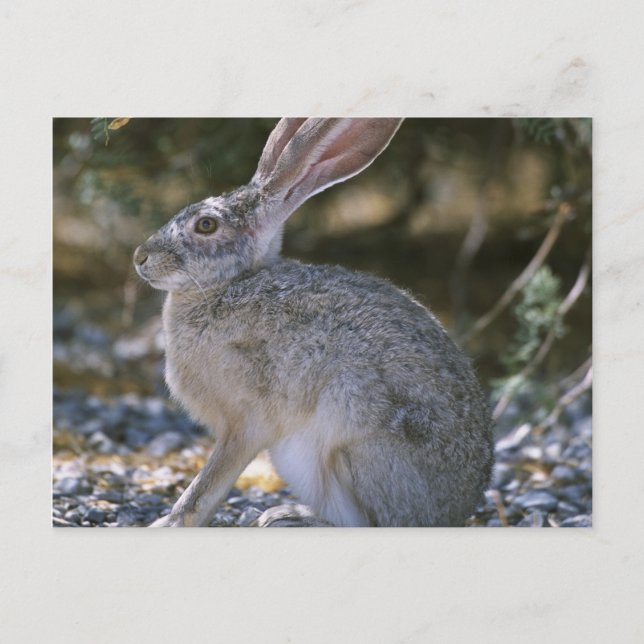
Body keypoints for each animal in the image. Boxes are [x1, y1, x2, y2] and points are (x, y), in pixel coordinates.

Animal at [133, 118, 493, 527]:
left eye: (206, 225)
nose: (140, 257)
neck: (226, 286)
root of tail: (454, 512)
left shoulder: (244, 423)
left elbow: (209, 483)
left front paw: (170, 522)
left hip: (350, 445)